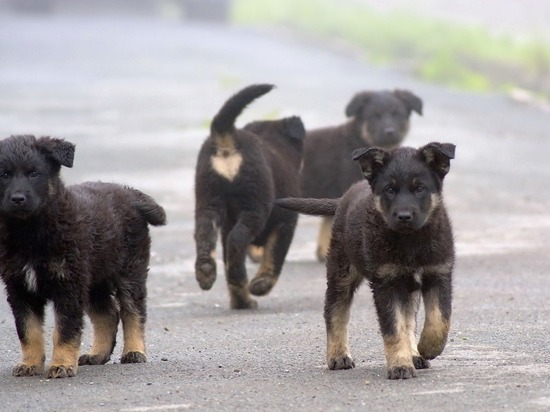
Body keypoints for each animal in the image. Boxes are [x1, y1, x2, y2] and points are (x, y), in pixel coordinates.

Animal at [0, 134, 166, 378]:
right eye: (3, 175)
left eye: (34, 173)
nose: (17, 198)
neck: (30, 232)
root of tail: (129, 192)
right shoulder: (19, 288)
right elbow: (28, 330)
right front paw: (30, 363)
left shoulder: (68, 284)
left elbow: (65, 329)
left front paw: (61, 364)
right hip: (94, 280)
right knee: (108, 315)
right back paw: (97, 354)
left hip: (129, 271)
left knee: (133, 311)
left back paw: (134, 351)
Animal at [194, 83, 306, 308]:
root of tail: (227, 137)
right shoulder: (287, 222)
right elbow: (274, 257)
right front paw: (261, 285)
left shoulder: (226, 224)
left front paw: (241, 301)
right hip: (254, 206)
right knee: (237, 240)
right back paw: (241, 279)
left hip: (208, 200)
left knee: (206, 234)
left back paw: (206, 272)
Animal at [276, 142, 458, 380]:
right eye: (389, 189)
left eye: (420, 189)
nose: (404, 216)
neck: (410, 241)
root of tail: (344, 198)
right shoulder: (385, 282)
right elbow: (393, 328)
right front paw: (400, 365)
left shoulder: (439, 273)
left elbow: (439, 319)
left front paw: (426, 348)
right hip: (341, 272)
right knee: (335, 311)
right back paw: (338, 356)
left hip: (405, 287)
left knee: (409, 319)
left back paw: (414, 354)